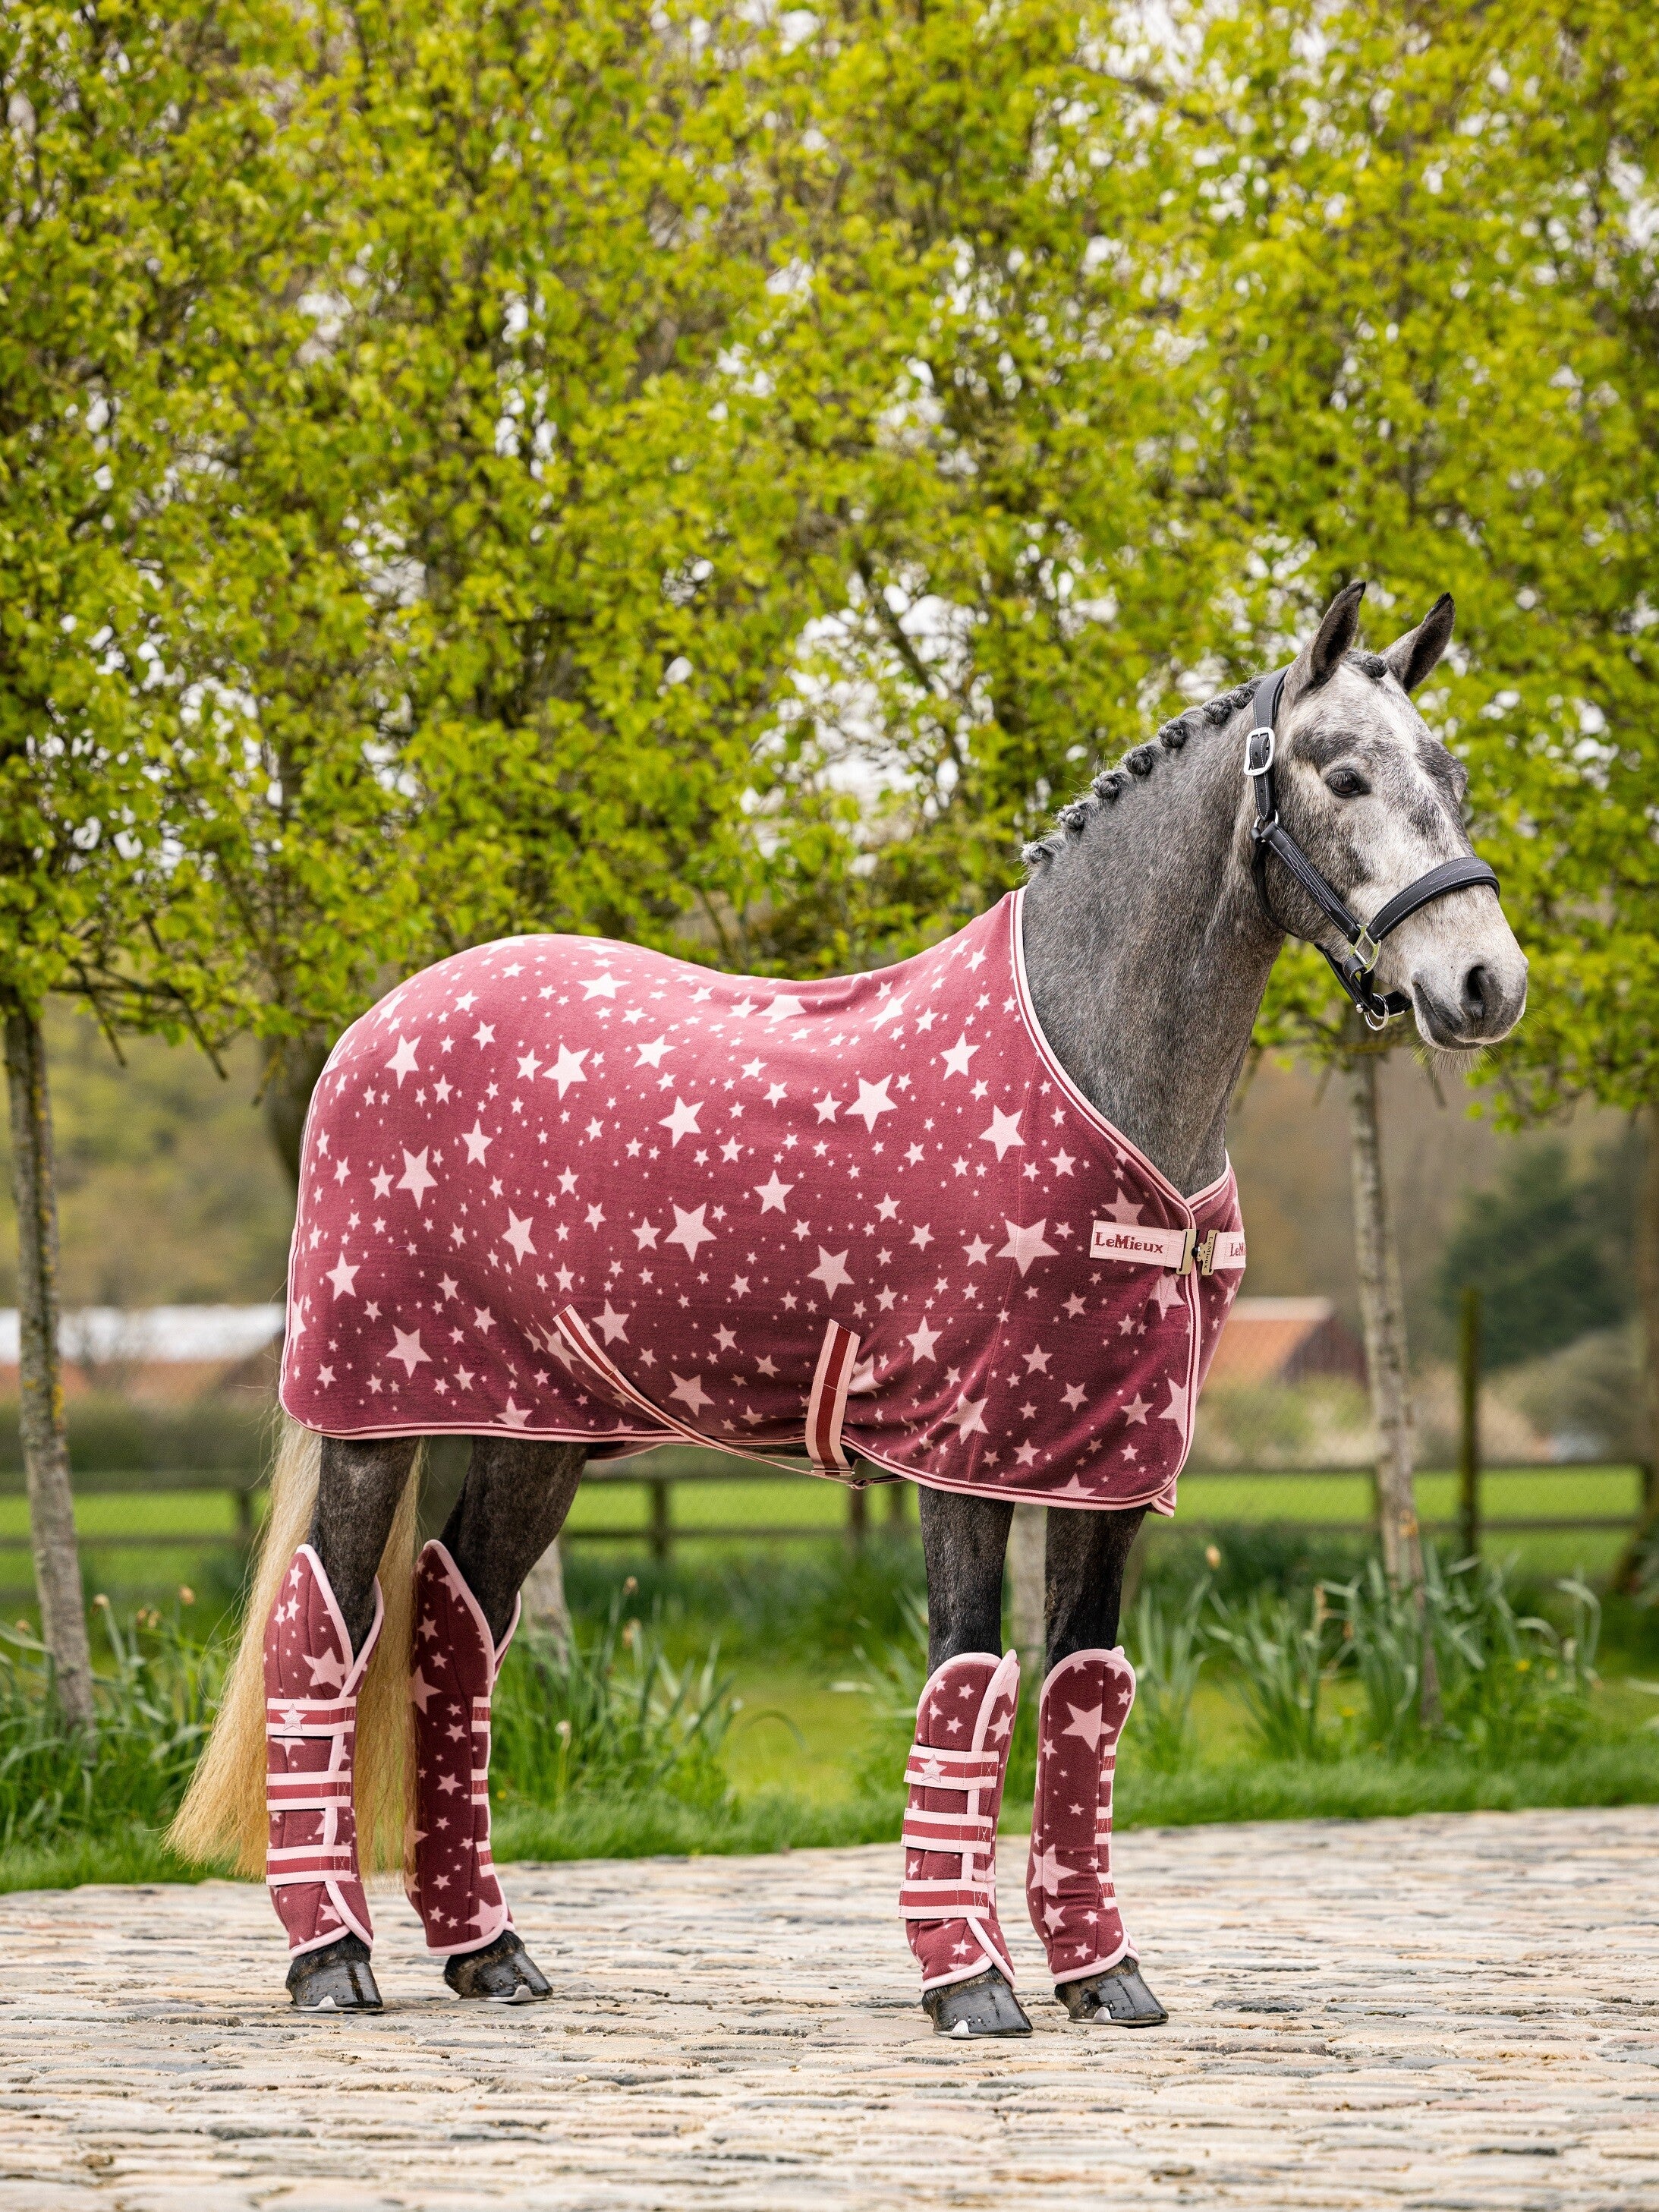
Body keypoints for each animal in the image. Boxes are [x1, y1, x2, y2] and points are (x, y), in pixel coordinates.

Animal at [172, 581, 1527, 2035]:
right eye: (1343, 775)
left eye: (1450, 774)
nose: (1484, 985)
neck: (1097, 1071)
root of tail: (376, 1027)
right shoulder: (962, 1454)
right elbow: (968, 1681)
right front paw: (969, 1977)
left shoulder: (1104, 1463)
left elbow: (1082, 1693)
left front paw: (1103, 1971)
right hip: (374, 1413)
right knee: (321, 1630)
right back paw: (331, 1956)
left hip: (533, 1434)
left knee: (455, 1629)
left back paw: (488, 1948)